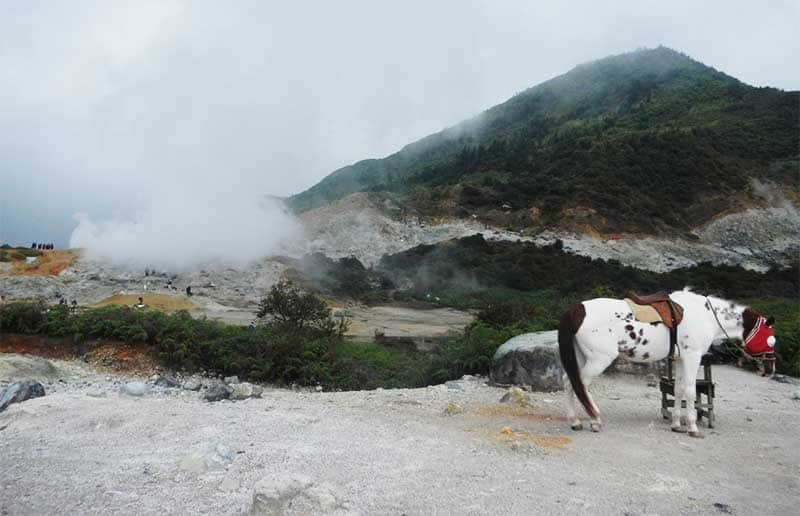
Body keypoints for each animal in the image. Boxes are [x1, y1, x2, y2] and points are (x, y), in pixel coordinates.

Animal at [556, 288, 776, 438]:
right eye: (770, 340)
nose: (770, 369)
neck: (705, 316)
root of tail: (576, 310)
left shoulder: (679, 359)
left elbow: (677, 390)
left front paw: (677, 424)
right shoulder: (692, 356)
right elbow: (690, 391)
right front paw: (692, 427)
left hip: (582, 356)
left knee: (569, 381)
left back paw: (575, 420)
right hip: (599, 359)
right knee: (581, 384)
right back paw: (594, 419)